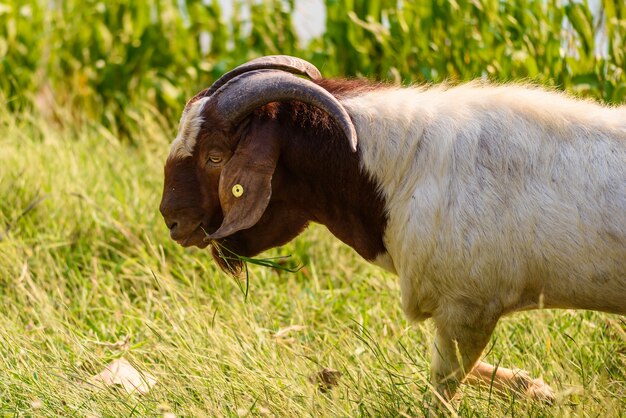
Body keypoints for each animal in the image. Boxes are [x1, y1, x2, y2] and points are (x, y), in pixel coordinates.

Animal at [157, 54, 624, 402]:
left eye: (215, 156)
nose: (172, 220)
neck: (405, 167)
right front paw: (537, 389)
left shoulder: (469, 305)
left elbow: (441, 389)